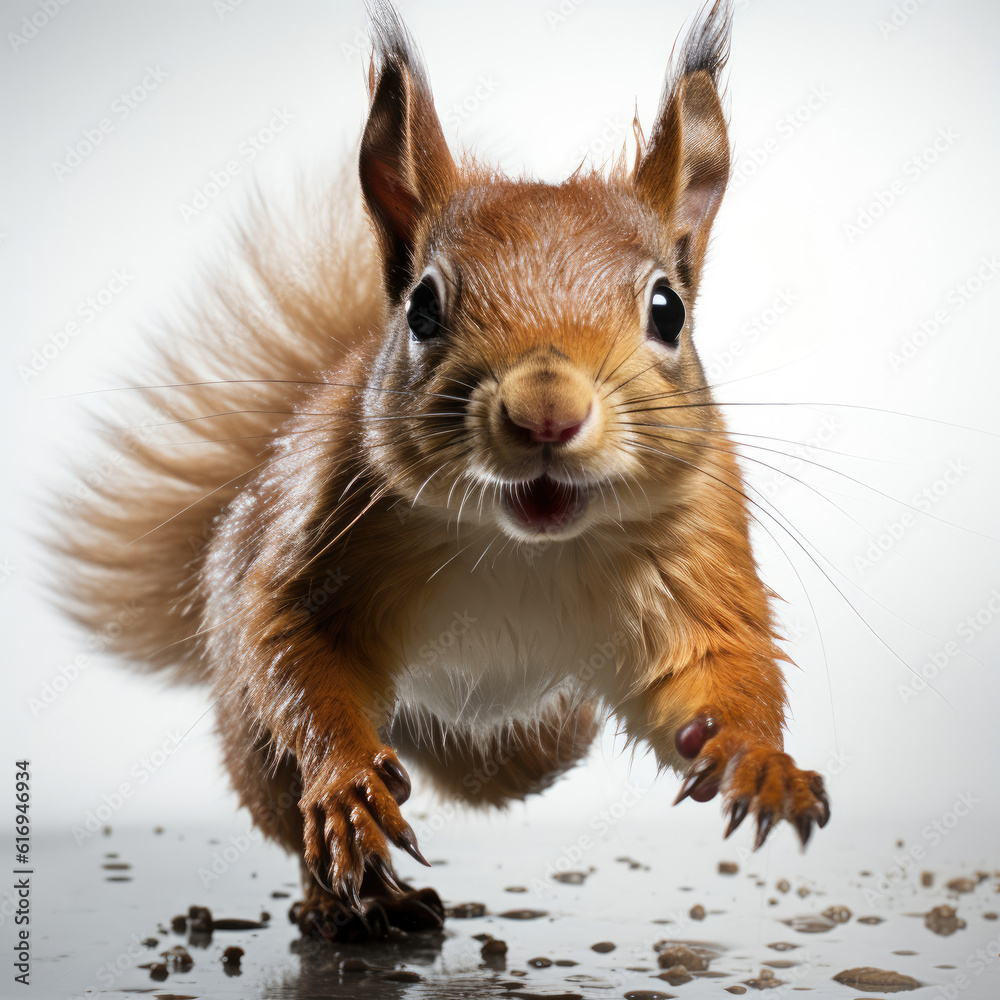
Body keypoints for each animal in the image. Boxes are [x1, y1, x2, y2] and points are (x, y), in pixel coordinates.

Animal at [54, 0, 828, 940]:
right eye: (423, 307)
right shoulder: (327, 539)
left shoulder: (696, 554)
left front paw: (758, 760)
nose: (545, 411)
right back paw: (358, 901)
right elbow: (297, 655)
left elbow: (716, 672)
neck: (527, 545)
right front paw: (348, 784)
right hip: (251, 736)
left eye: (667, 309)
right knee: (292, 819)